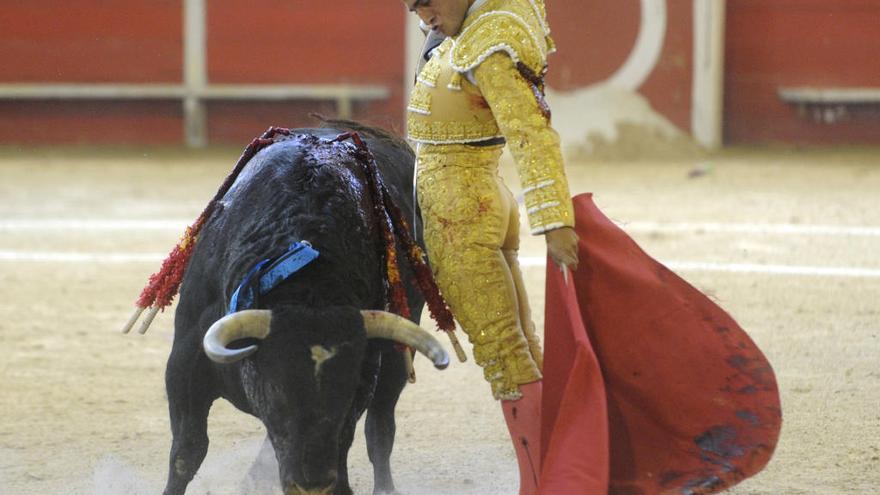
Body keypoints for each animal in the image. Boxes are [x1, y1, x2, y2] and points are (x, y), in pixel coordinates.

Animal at [161, 128, 446, 495]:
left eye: (347, 392)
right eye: (276, 390)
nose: (311, 484)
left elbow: (350, 437)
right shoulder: (183, 365)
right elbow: (187, 452)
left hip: (399, 350)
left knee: (380, 429)